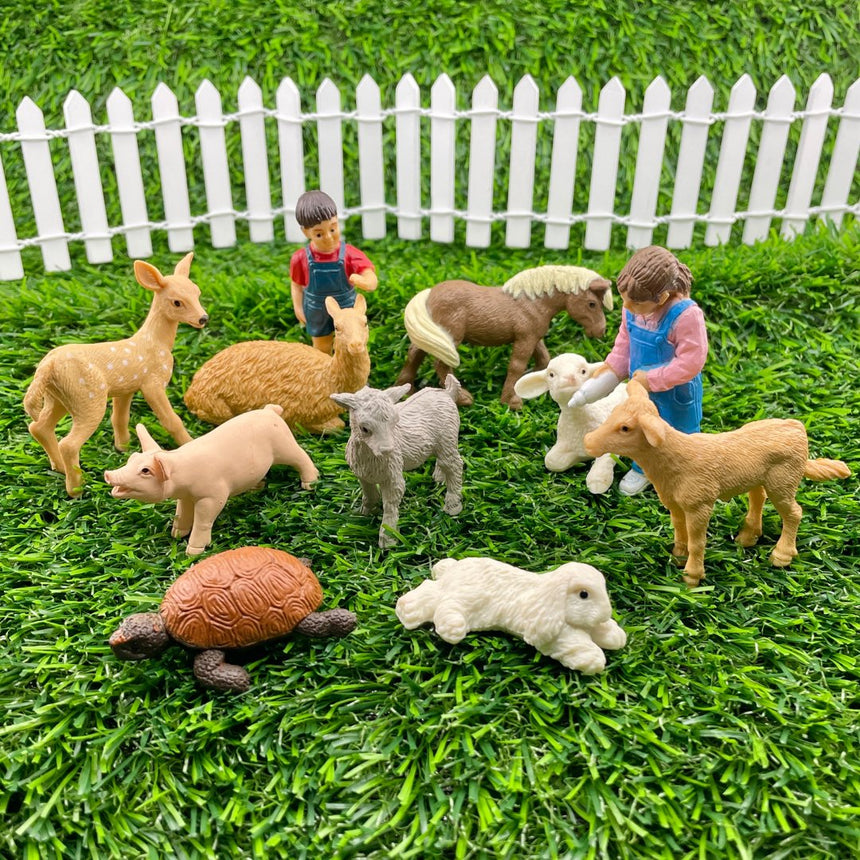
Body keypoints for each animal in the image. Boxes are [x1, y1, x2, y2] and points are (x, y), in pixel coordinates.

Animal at [394, 556, 624, 672]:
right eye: (584, 594)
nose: (606, 613)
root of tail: (454, 568)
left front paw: (615, 635)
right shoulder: (554, 634)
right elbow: (576, 643)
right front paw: (592, 660)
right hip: (469, 595)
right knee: (440, 600)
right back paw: (417, 614)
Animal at [512, 352, 628, 494]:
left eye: (584, 371)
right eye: (551, 374)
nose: (569, 378)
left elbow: (604, 462)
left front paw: (597, 483)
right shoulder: (565, 442)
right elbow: (550, 461)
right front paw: (575, 460)